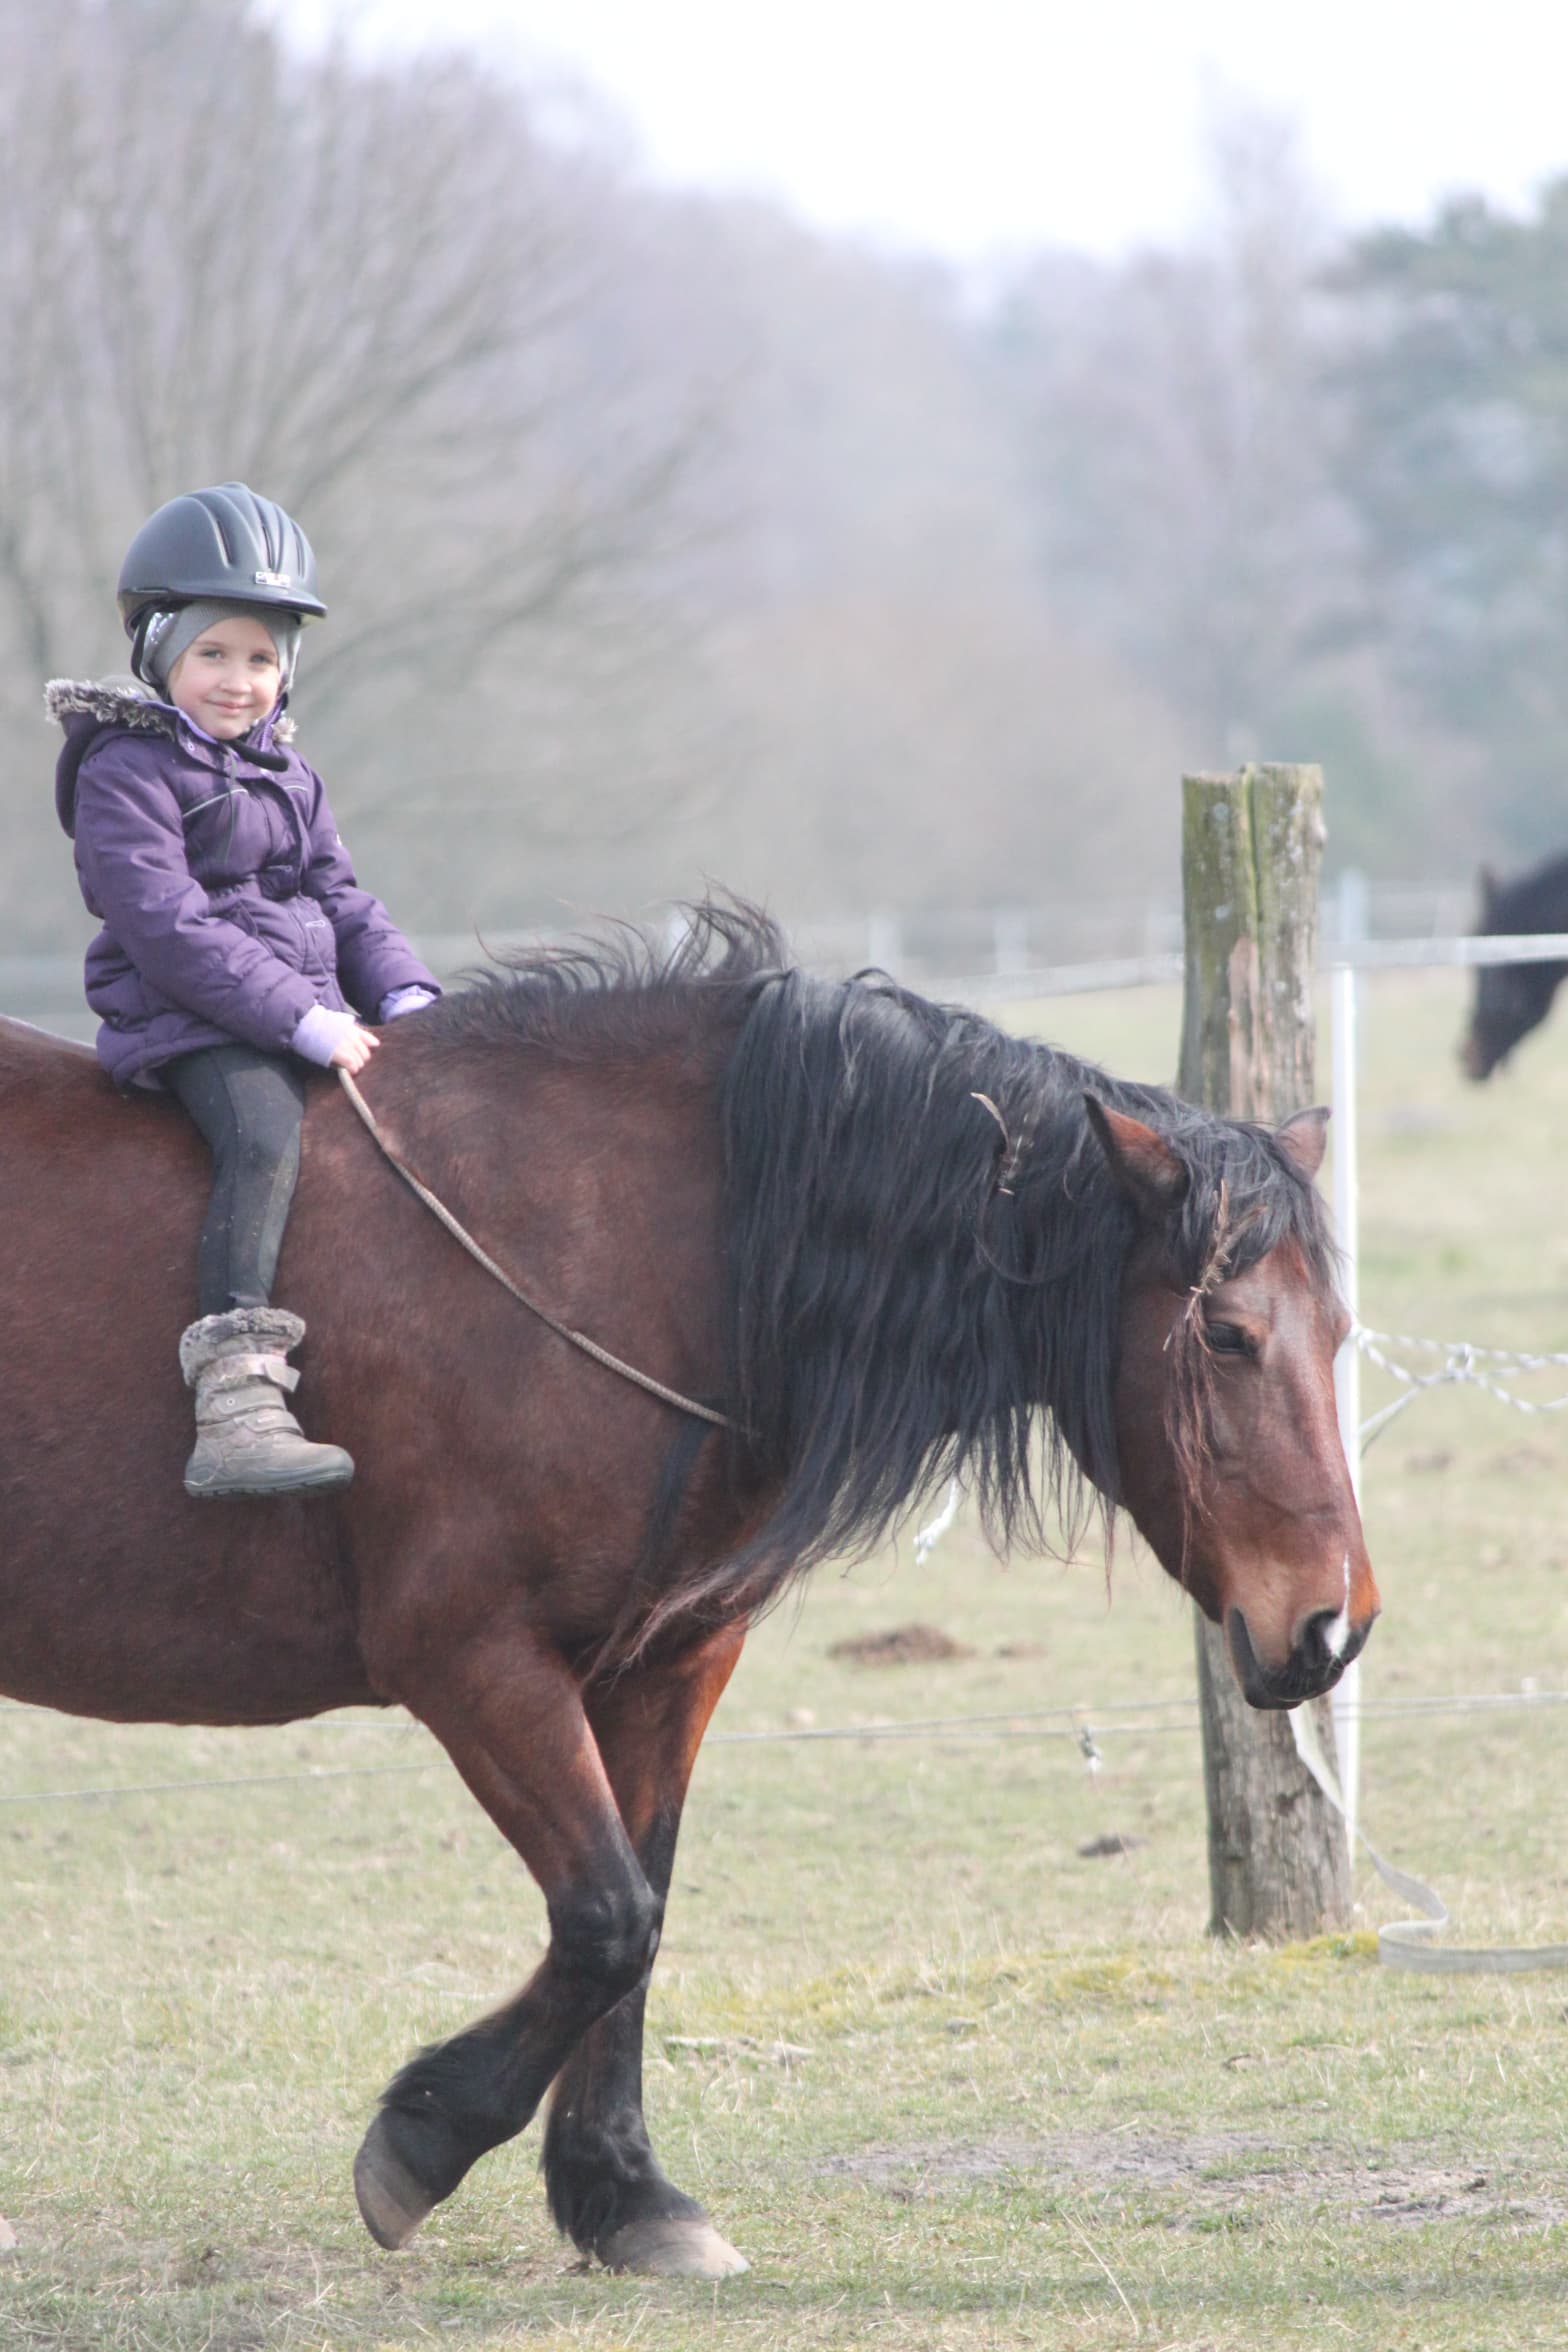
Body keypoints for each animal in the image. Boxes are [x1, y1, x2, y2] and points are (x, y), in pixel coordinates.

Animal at [0, 901, 1376, 2278]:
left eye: (1337, 1335)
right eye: (1225, 1336)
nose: (1332, 1623)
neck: (608, 1253)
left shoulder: (662, 1662)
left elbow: (638, 1921)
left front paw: (622, 2194)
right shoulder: (471, 1661)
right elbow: (607, 1918)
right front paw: (425, 2136)